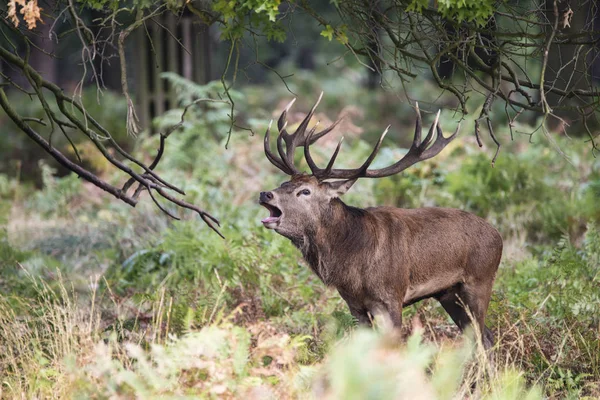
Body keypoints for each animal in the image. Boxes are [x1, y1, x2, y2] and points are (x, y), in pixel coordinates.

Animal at [258, 94, 502, 350]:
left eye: (305, 191)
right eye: (284, 183)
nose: (266, 194)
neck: (351, 265)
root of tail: (498, 235)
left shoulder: (390, 298)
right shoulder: (354, 304)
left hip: (480, 280)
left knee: (484, 336)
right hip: (449, 294)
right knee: (481, 335)